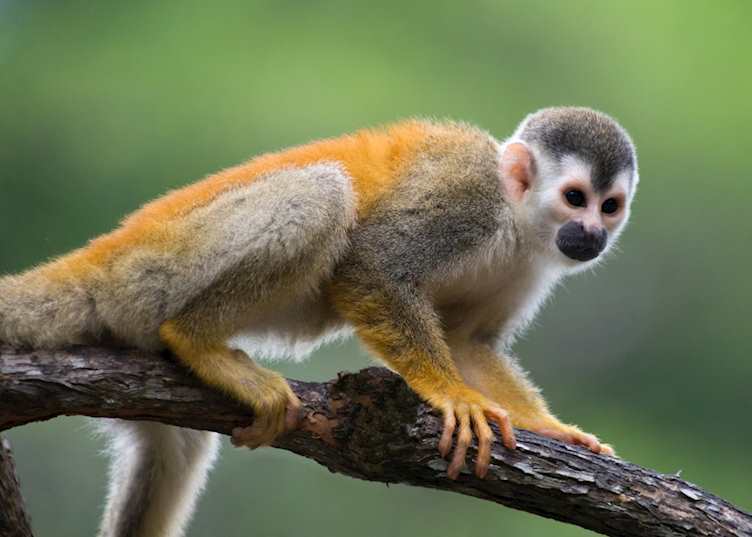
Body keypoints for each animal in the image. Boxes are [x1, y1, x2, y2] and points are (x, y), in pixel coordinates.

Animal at [0, 106, 638, 537]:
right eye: (575, 197)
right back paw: (197, 340)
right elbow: (370, 267)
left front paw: (547, 426)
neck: (516, 219)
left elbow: (469, 341)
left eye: (610, 206)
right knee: (323, 192)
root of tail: (108, 253)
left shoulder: (530, 265)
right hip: (165, 263)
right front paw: (451, 395)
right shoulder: (464, 197)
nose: (593, 235)